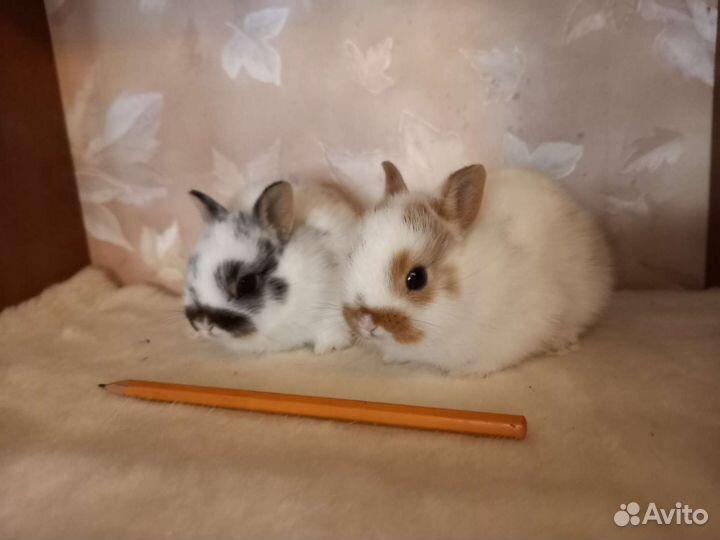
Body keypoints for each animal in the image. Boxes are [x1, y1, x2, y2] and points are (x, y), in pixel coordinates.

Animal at [185, 179, 364, 355]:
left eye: (246, 283)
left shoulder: (330, 305)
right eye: (191, 272)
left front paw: (329, 347)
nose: (204, 324)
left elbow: (330, 327)